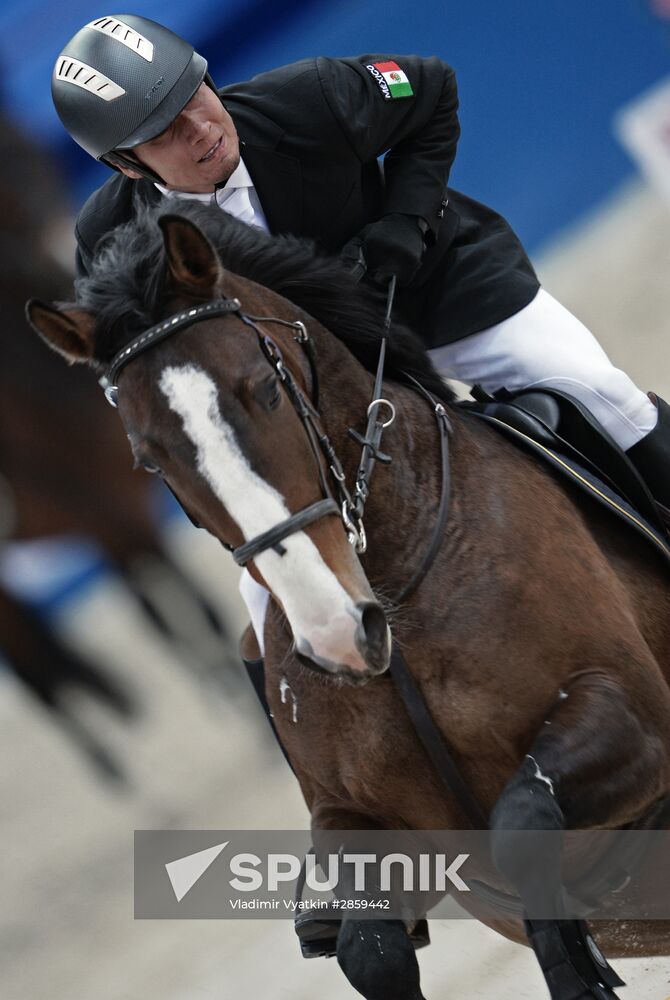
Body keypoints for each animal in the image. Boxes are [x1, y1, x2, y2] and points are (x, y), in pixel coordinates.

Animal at [27, 201, 670, 1000]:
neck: (393, 596)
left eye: (266, 389)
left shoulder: (632, 715)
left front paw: (580, 969)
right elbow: (371, 949)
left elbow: (523, 822)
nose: (339, 635)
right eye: (149, 459)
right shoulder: (358, 819)